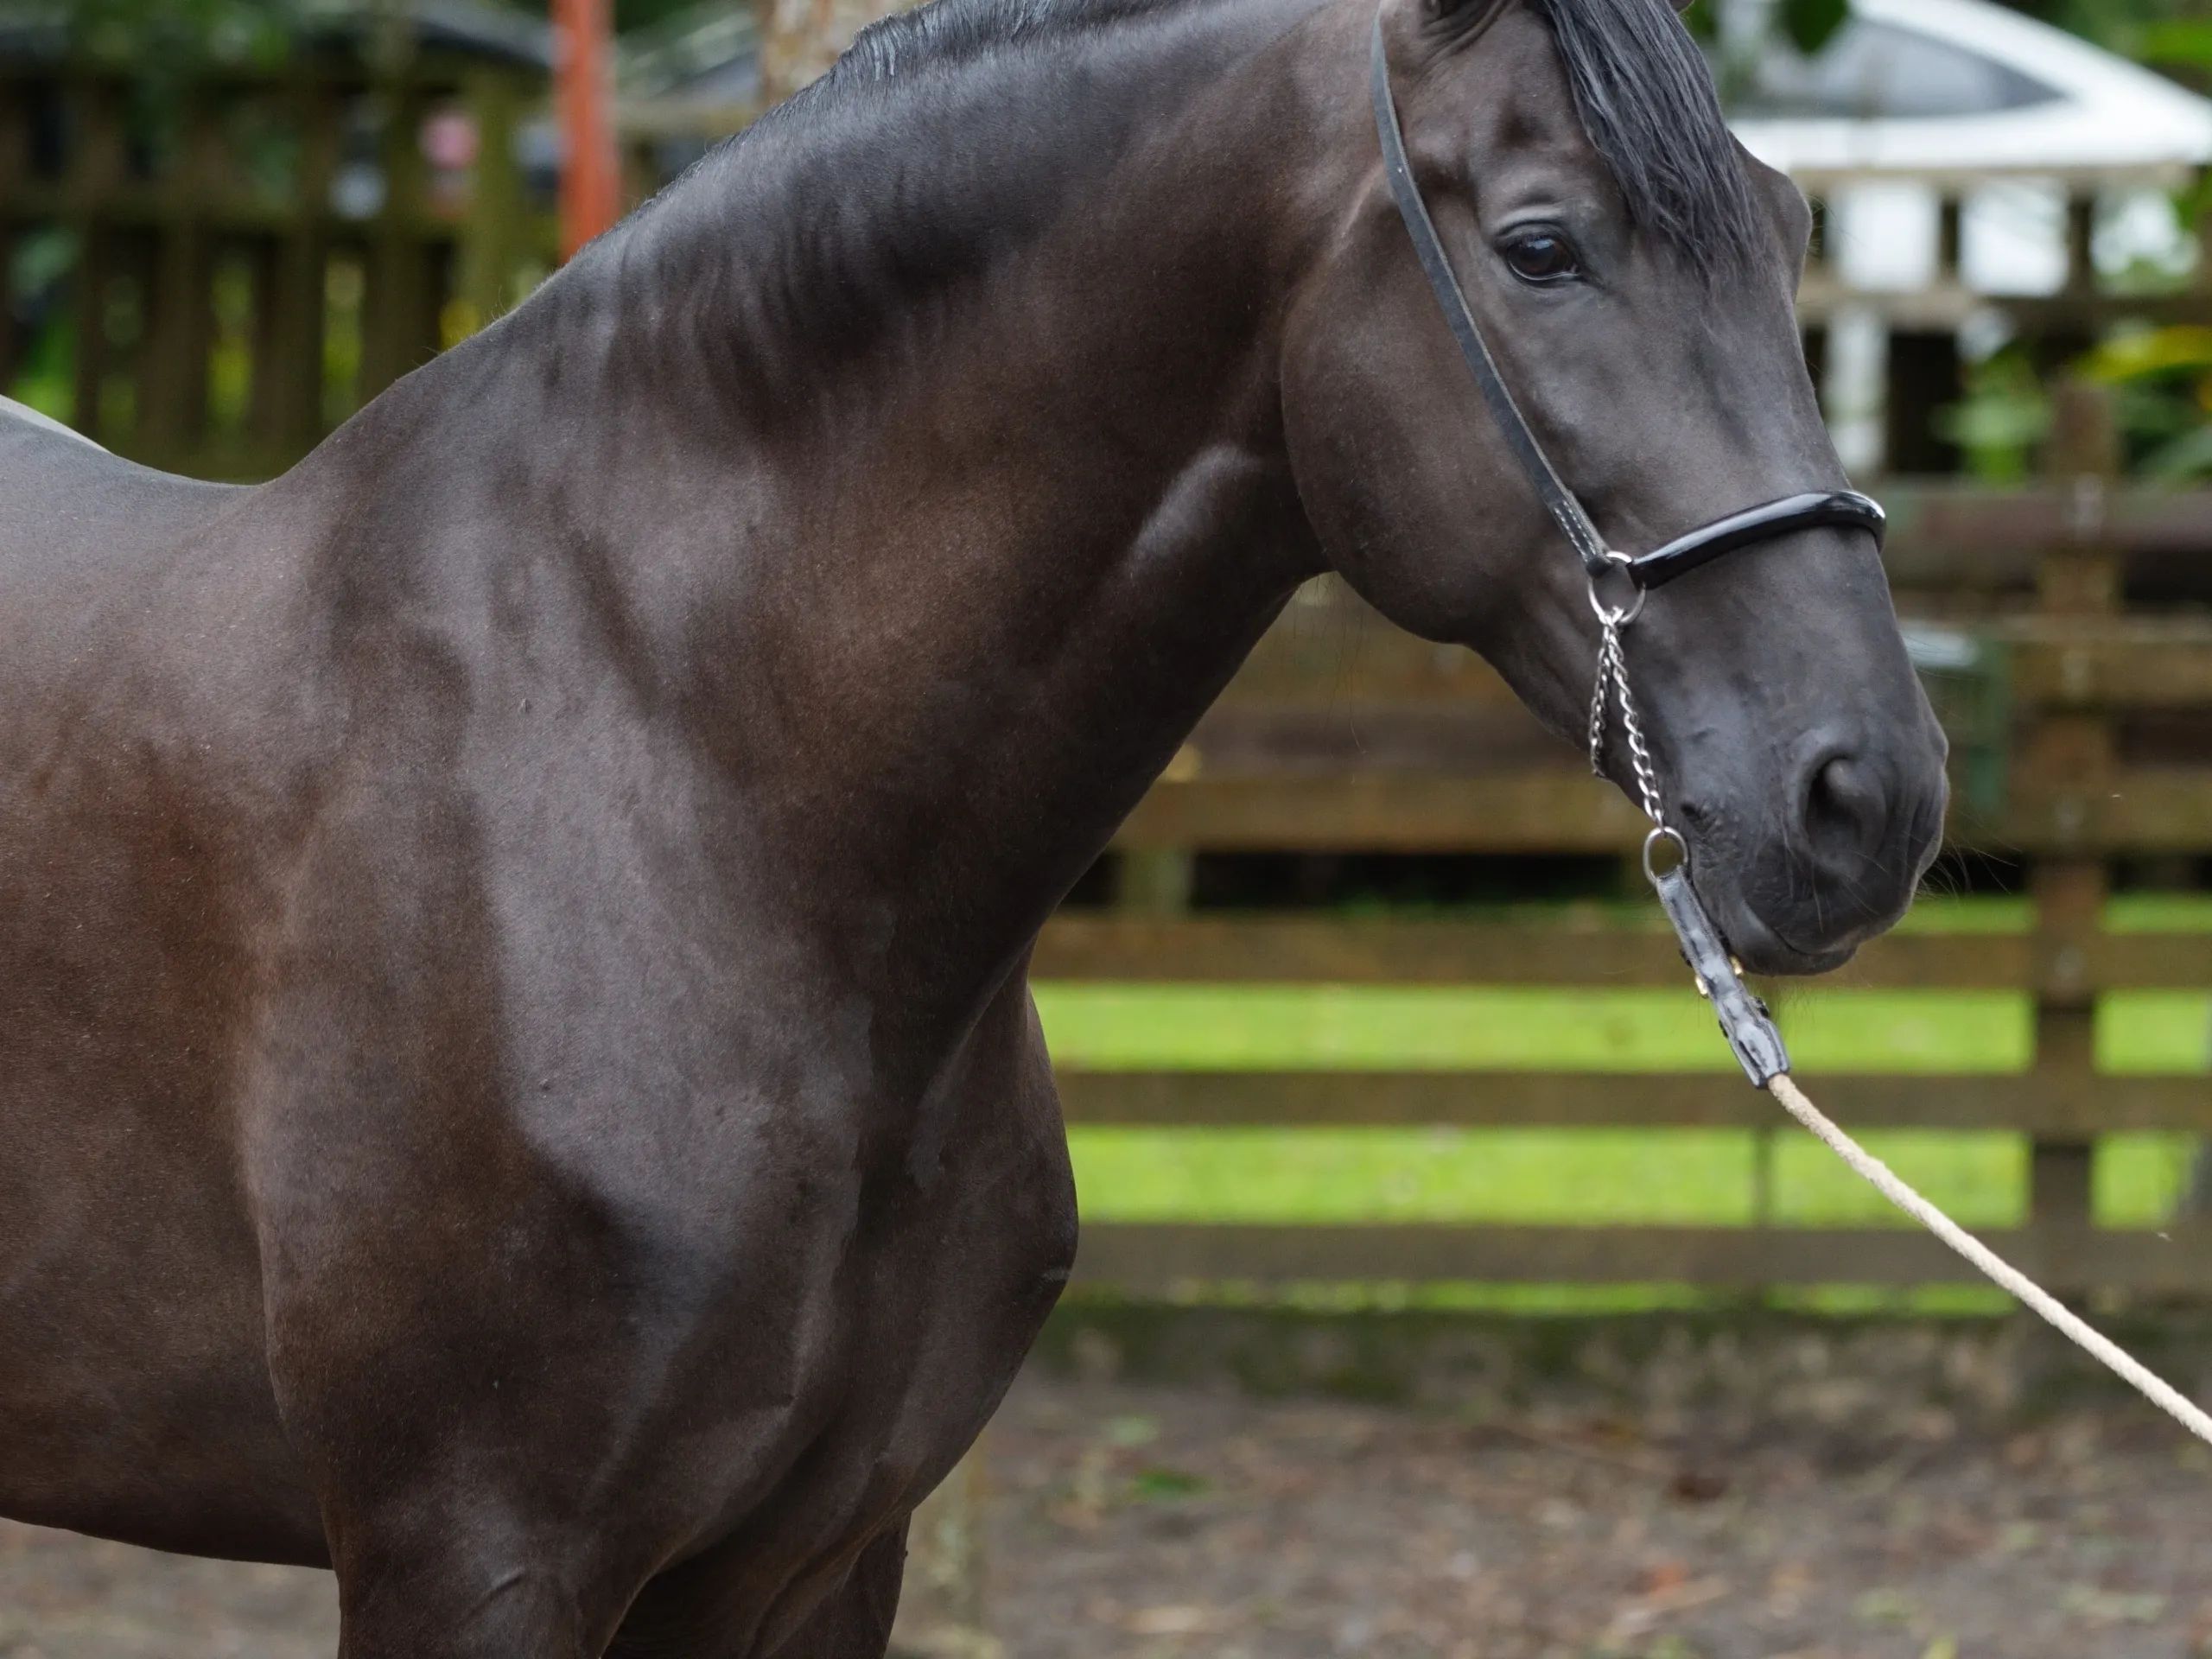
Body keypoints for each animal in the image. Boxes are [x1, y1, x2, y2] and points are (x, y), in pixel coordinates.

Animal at [0, 0, 1947, 1649]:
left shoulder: (811, 1563)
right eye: (1544, 247)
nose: (1869, 795)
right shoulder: (472, 1559)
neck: (668, 765)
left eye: (1789, 232)